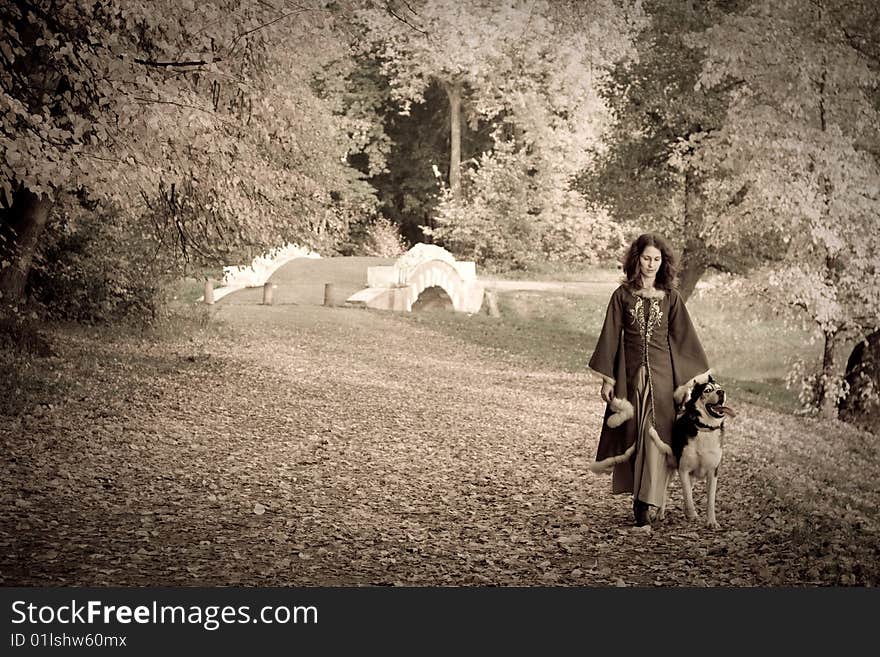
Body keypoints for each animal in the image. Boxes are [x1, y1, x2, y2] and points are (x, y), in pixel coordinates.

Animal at [660, 374, 736, 528]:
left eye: (719, 388)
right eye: (707, 390)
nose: (721, 392)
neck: (705, 427)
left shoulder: (713, 472)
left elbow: (710, 500)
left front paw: (711, 521)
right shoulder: (683, 470)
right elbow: (688, 495)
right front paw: (693, 514)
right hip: (670, 468)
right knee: (664, 490)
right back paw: (660, 513)